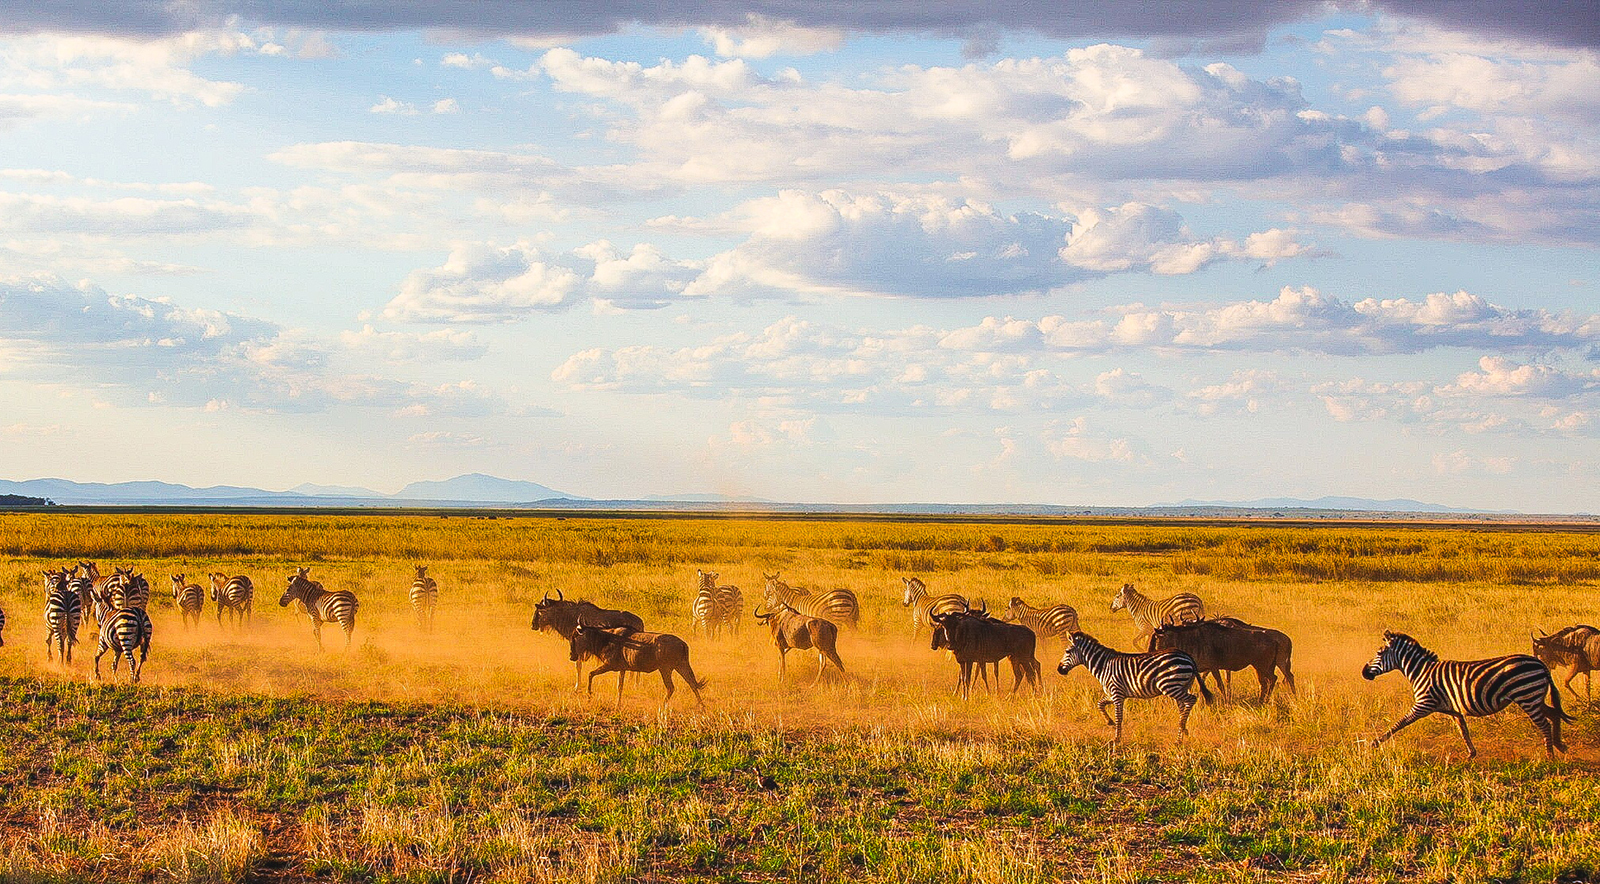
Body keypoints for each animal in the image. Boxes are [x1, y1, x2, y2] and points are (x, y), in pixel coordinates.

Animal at [1056, 630, 1203, 743]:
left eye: (1067, 651)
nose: (1059, 670)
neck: (1104, 665)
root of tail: (1187, 656)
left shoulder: (1117, 693)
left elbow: (1119, 717)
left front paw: (1116, 739)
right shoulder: (1112, 694)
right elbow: (1100, 704)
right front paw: (1109, 722)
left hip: (1170, 686)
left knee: (1192, 699)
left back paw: (1181, 732)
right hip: (1181, 686)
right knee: (1183, 708)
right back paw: (1182, 732)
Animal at [1356, 627, 1568, 759]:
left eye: (1379, 653)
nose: (1364, 672)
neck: (1421, 671)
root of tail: (1540, 663)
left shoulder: (1423, 704)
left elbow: (1399, 723)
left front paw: (1374, 743)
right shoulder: (1454, 709)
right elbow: (1463, 730)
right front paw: (1471, 754)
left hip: (1527, 697)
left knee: (1545, 724)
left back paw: (1550, 756)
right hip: (1533, 698)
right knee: (1554, 714)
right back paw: (1560, 745)